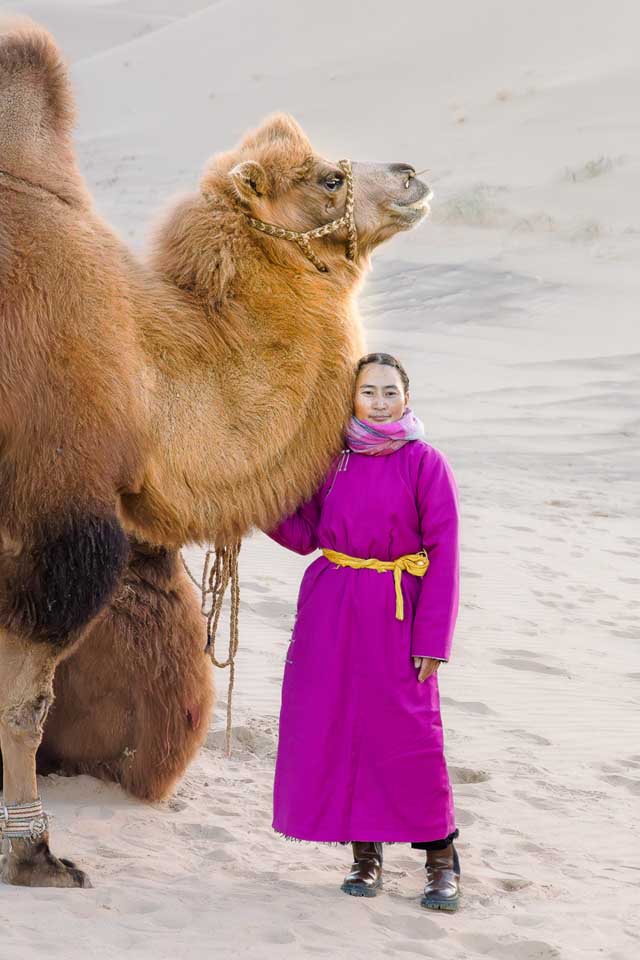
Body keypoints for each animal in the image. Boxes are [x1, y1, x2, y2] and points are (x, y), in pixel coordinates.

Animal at [0, 20, 432, 888]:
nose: (411, 173)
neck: (143, 367)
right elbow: (24, 703)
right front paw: (33, 853)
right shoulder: (56, 509)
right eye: (328, 178)